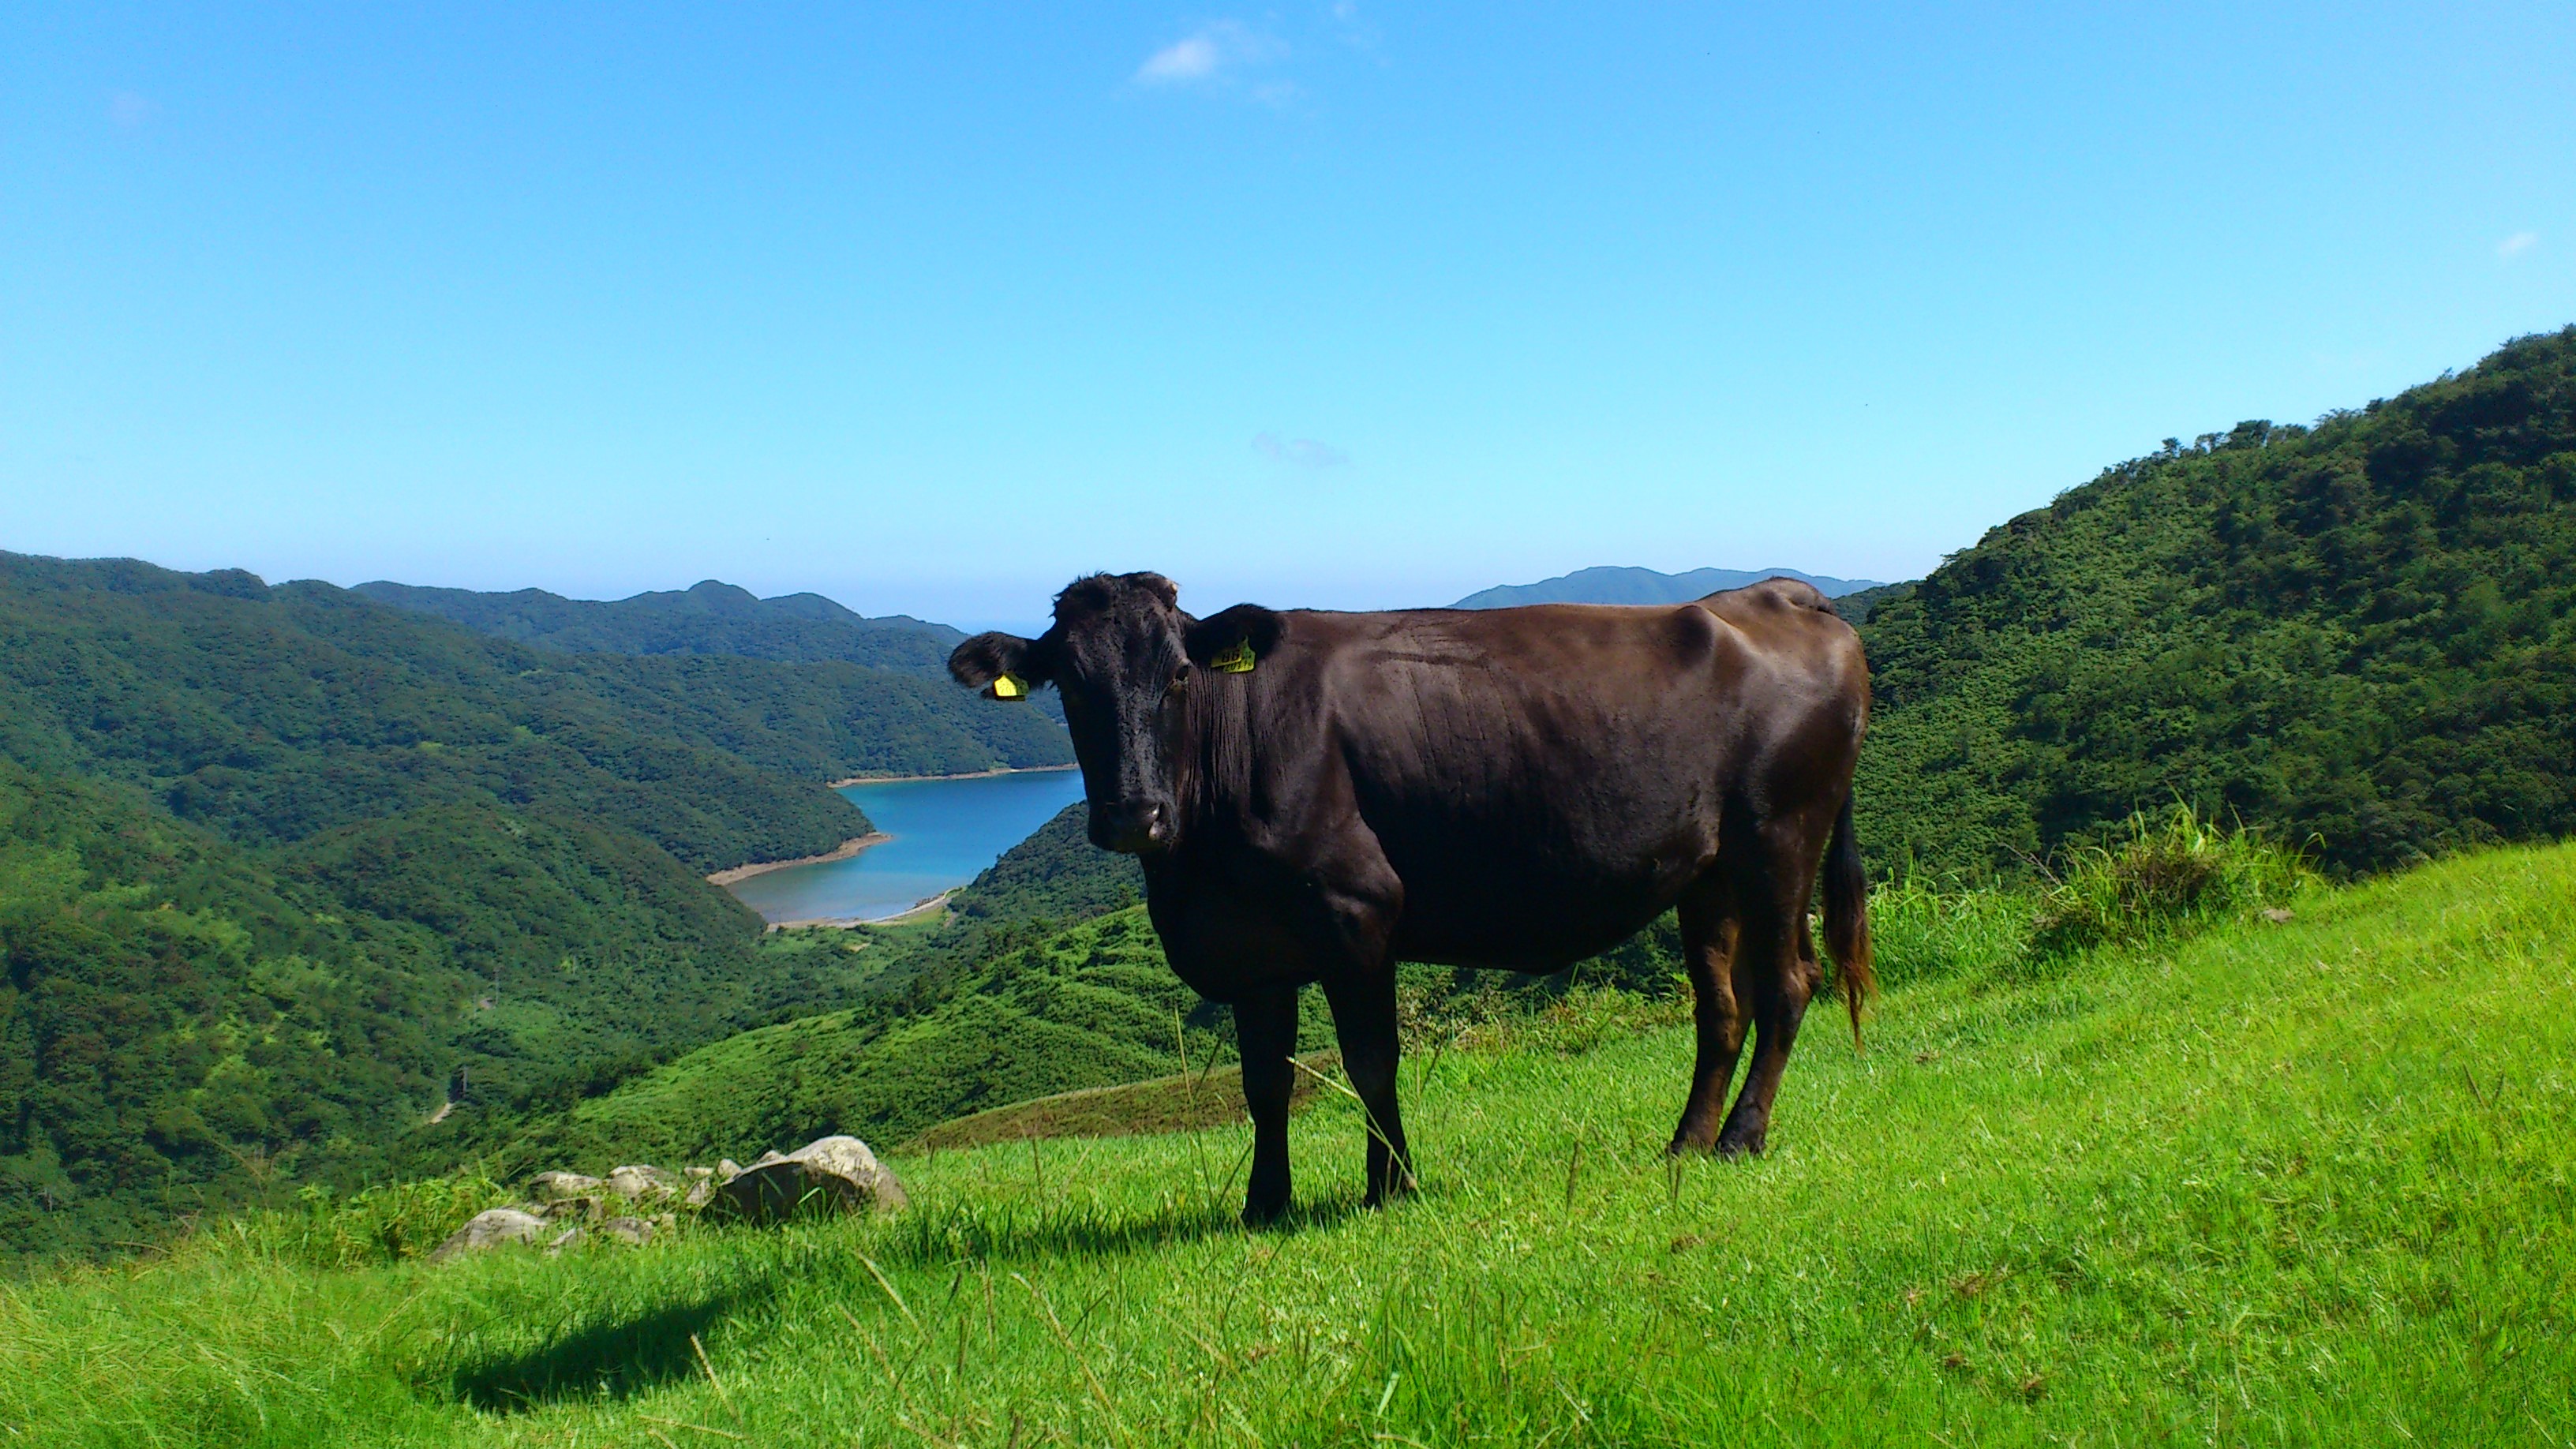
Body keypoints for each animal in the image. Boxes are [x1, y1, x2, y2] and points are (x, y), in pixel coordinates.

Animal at [948, 569, 1875, 1211]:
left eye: (1178, 676)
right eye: (1069, 683)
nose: (1134, 814)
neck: (1195, 879)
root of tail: (1781, 595)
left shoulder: (1355, 912)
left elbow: (1369, 1060)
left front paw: (1389, 1185)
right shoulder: (1251, 946)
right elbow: (1263, 1081)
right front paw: (1263, 1206)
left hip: (1780, 839)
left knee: (1790, 984)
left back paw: (1741, 1140)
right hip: (1708, 872)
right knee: (1722, 1005)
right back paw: (1685, 1143)